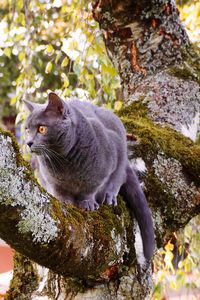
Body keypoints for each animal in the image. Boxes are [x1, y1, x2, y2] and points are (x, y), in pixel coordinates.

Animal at [23, 92, 155, 262]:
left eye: (41, 128)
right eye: (27, 129)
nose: (28, 142)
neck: (64, 161)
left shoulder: (113, 147)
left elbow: (92, 187)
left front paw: (88, 203)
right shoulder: (50, 180)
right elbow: (60, 191)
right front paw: (65, 201)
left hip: (116, 129)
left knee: (120, 174)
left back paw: (109, 195)